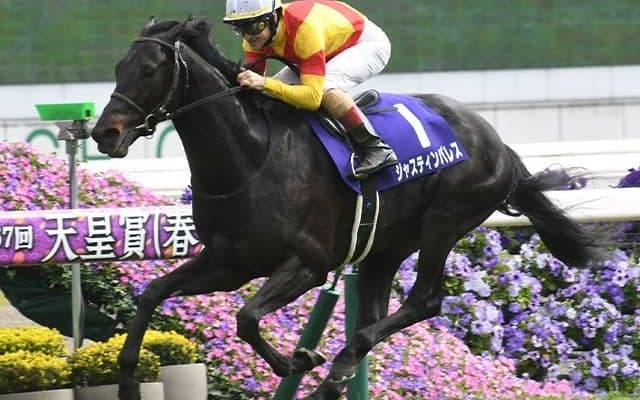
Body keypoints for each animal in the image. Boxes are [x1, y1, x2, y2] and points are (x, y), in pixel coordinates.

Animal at [91, 17, 602, 400]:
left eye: (150, 69)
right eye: (118, 65)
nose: (104, 134)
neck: (251, 158)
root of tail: (497, 143)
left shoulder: (307, 264)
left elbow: (247, 318)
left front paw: (299, 358)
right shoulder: (228, 263)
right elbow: (153, 293)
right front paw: (128, 381)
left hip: (445, 222)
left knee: (423, 301)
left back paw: (335, 367)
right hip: (387, 245)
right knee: (375, 313)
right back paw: (338, 375)